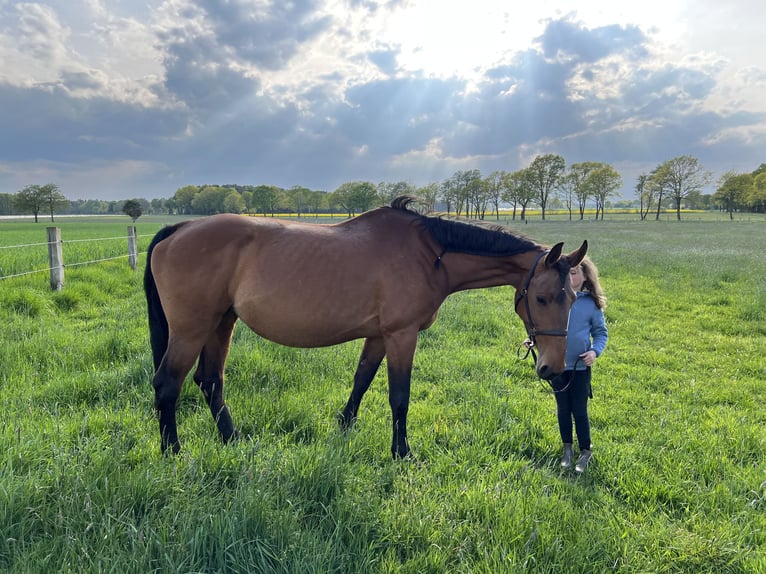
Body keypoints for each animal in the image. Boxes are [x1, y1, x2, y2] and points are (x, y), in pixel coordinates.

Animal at [144, 196, 587, 458]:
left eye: (573, 297)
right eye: (544, 298)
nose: (554, 368)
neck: (429, 254)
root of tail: (179, 229)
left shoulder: (378, 336)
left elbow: (361, 380)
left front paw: (344, 428)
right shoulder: (401, 335)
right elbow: (399, 396)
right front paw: (402, 452)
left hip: (221, 323)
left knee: (210, 381)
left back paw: (232, 440)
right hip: (191, 330)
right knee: (168, 383)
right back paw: (174, 452)